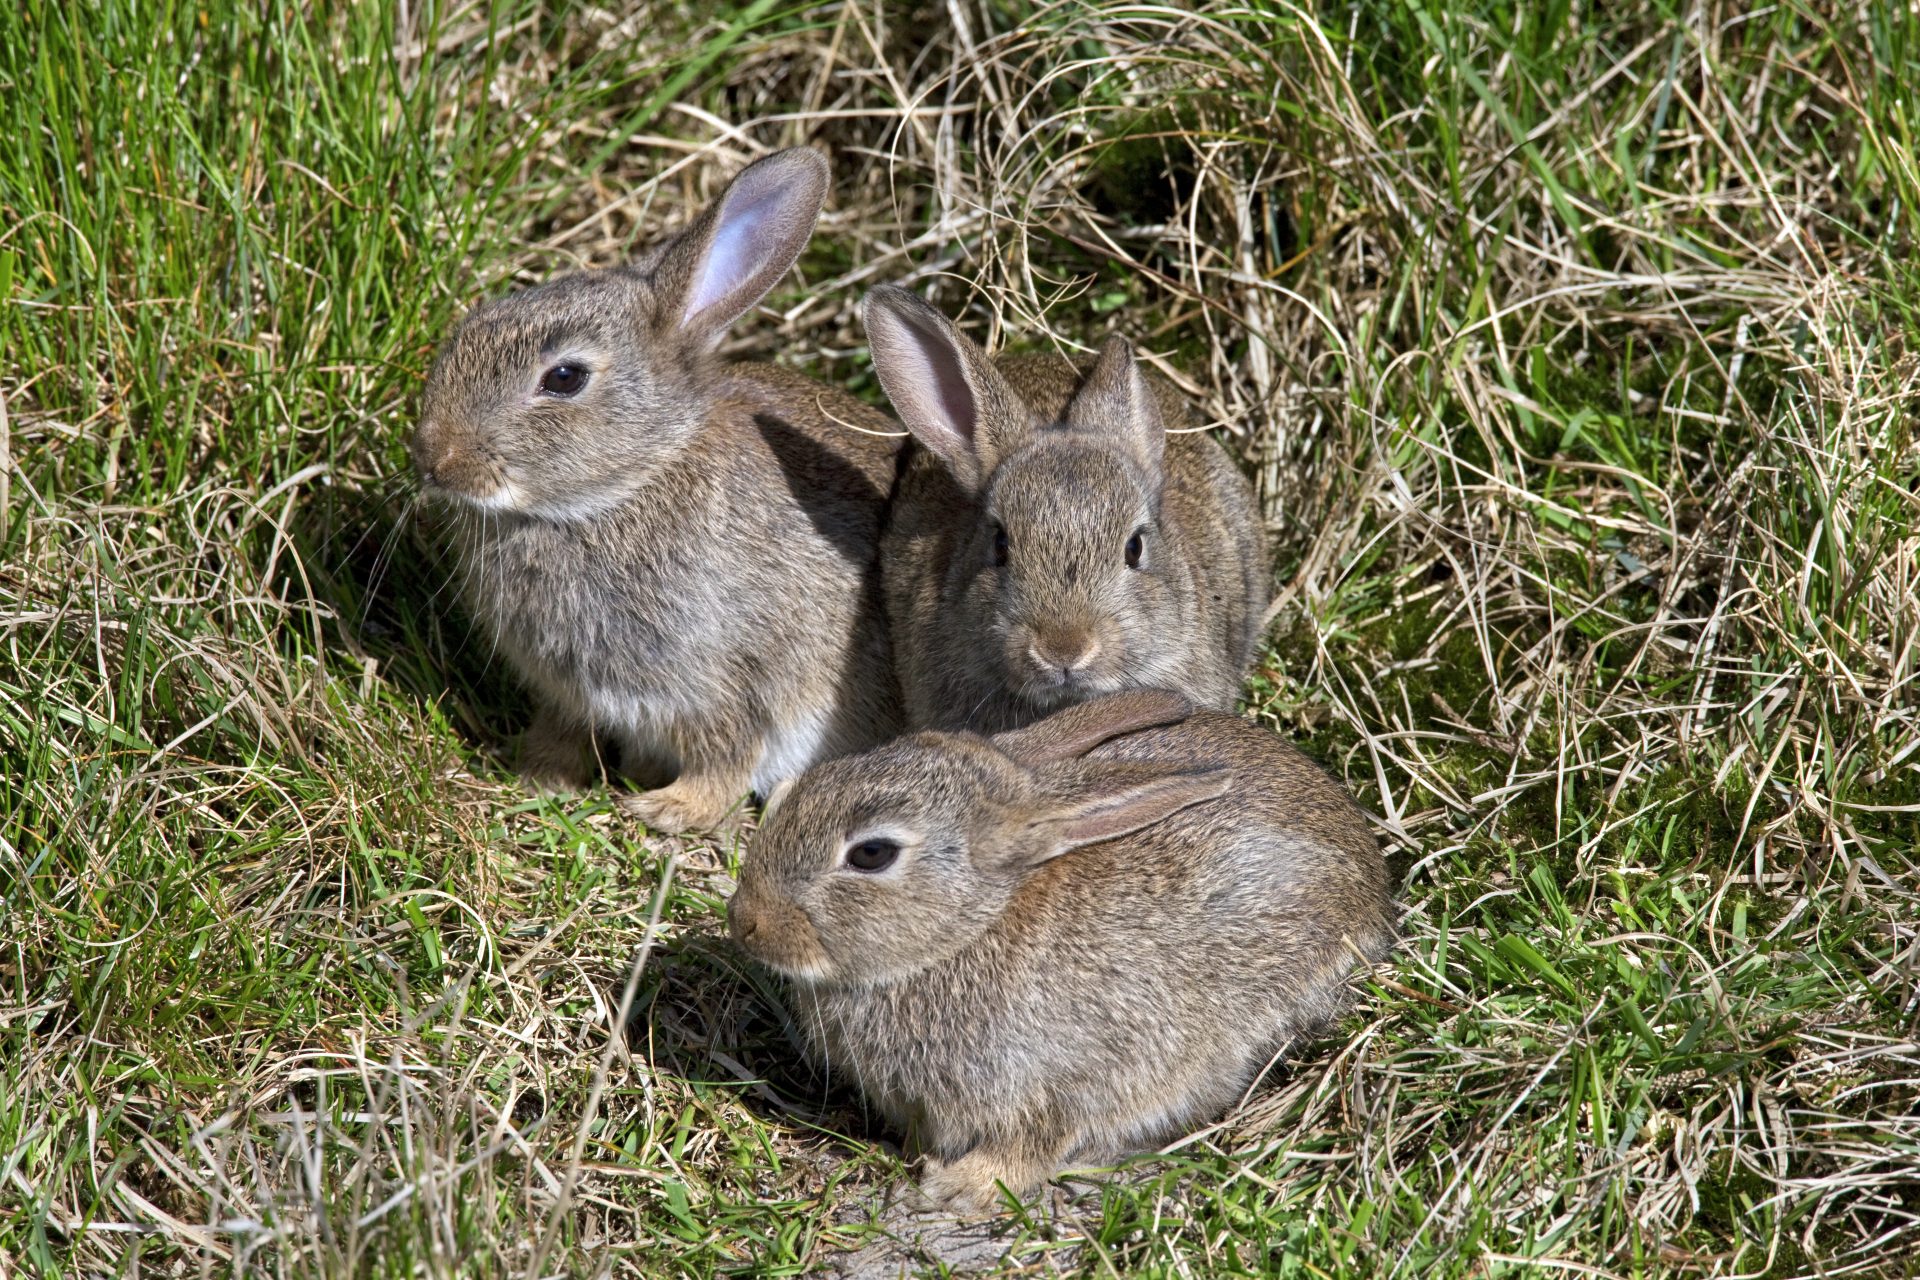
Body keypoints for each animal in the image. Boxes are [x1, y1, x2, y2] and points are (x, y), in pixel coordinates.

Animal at [408, 144, 902, 836]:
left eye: (565, 377)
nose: (432, 458)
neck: (628, 484)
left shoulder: (728, 678)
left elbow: (727, 757)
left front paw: (669, 809)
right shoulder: (570, 694)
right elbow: (562, 733)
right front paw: (538, 777)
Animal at [721, 690, 1397, 1212]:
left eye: (870, 854)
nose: (745, 922)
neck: (967, 931)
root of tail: (1370, 876)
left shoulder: (1063, 1081)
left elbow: (1032, 1145)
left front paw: (956, 1189)